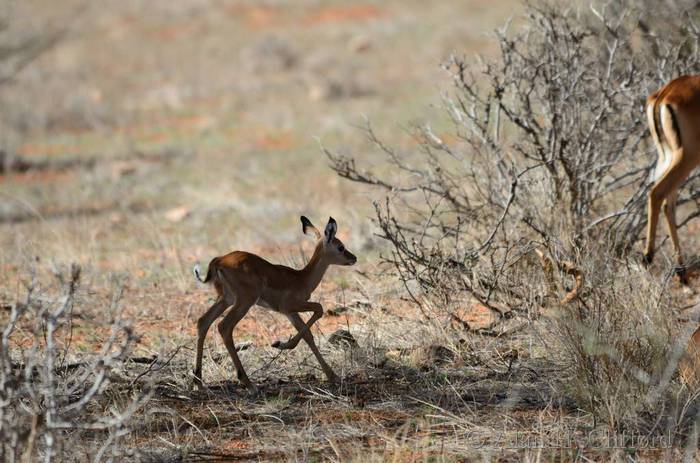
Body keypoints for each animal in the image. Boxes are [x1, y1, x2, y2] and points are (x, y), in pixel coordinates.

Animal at [192, 216, 356, 392]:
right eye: (340, 247)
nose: (354, 258)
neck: (302, 278)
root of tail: (219, 261)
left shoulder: (290, 313)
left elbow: (308, 336)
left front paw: (333, 376)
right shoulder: (290, 307)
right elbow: (319, 309)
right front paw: (280, 344)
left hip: (226, 299)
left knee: (203, 321)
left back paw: (198, 383)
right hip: (244, 301)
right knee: (224, 326)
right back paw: (249, 384)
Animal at [644, 75, 700, 285]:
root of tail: (665, 93)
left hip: (666, 156)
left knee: (668, 204)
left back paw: (681, 271)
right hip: (688, 157)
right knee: (657, 194)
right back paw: (648, 257)